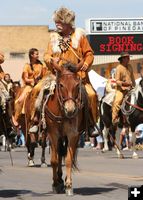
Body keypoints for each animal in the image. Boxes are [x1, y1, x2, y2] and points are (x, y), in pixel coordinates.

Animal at [42, 62, 87, 195]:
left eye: (77, 85)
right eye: (61, 85)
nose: (70, 109)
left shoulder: (73, 135)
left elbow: (68, 159)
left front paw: (68, 185)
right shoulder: (53, 134)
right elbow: (54, 160)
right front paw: (56, 184)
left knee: (65, 155)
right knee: (59, 154)